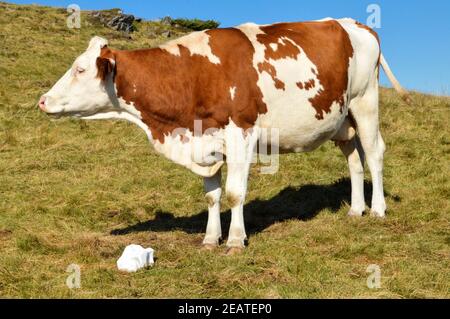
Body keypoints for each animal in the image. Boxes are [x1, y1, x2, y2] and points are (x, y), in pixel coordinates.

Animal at [38, 19, 408, 255]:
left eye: (80, 69)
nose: (42, 100)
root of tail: (354, 24)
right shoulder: (206, 142)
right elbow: (212, 196)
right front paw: (209, 239)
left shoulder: (241, 134)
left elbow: (234, 193)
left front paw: (234, 242)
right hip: (341, 121)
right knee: (354, 160)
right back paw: (356, 210)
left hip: (365, 102)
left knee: (374, 154)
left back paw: (377, 210)